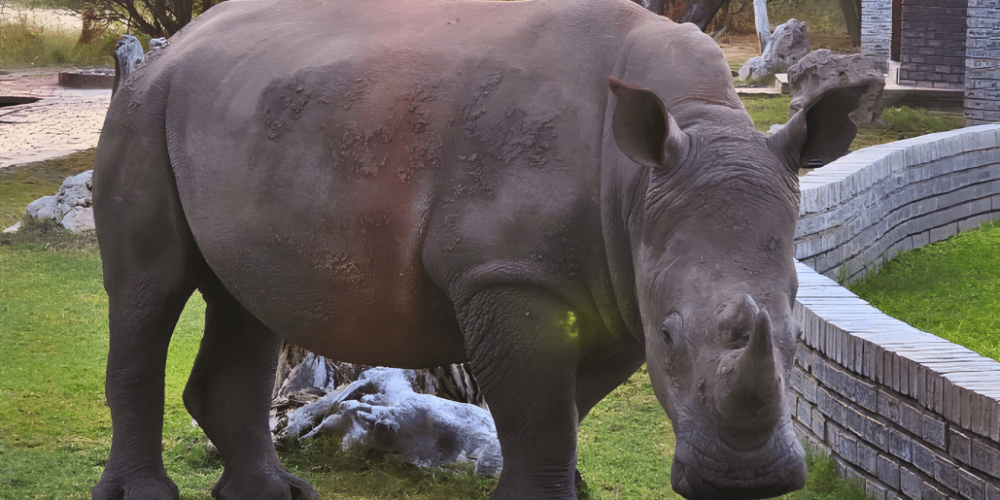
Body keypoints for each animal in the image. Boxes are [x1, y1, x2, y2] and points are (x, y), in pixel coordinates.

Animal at [91, 0, 864, 498]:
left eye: (800, 336)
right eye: (671, 336)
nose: (748, 482)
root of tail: (176, 45)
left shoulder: (616, 278)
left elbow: (565, 408)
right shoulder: (508, 274)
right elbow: (540, 412)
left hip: (239, 110)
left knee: (245, 302)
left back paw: (275, 492)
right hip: (144, 105)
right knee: (149, 290)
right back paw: (148, 493)